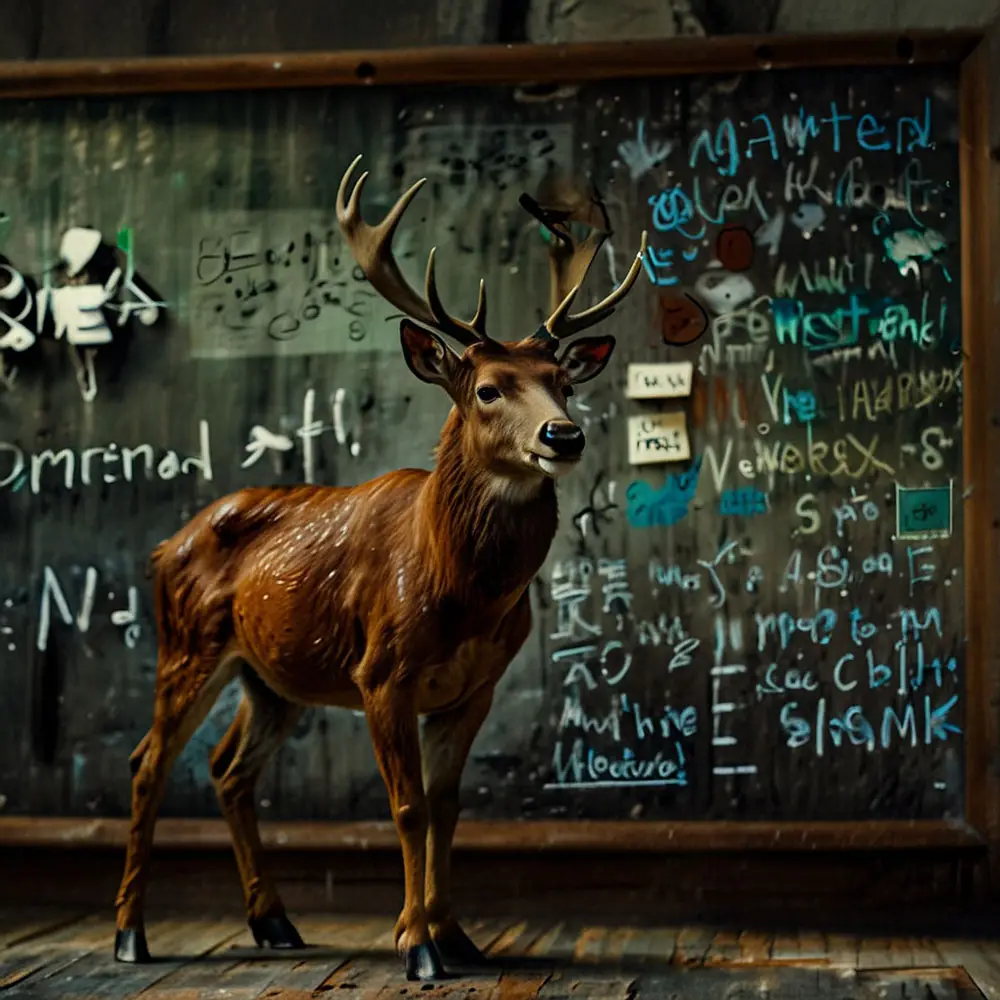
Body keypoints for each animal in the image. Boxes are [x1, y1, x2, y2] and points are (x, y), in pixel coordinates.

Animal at [112, 153, 647, 981]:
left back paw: (274, 922)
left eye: (563, 383)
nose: (564, 434)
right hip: (188, 643)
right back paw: (130, 934)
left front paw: (457, 936)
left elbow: (448, 806)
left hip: (271, 677)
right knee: (147, 761)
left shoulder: (476, 686)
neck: (457, 588)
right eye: (487, 389)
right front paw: (417, 945)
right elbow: (407, 806)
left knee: (230, 768)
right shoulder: (380, 671)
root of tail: (165, 546)